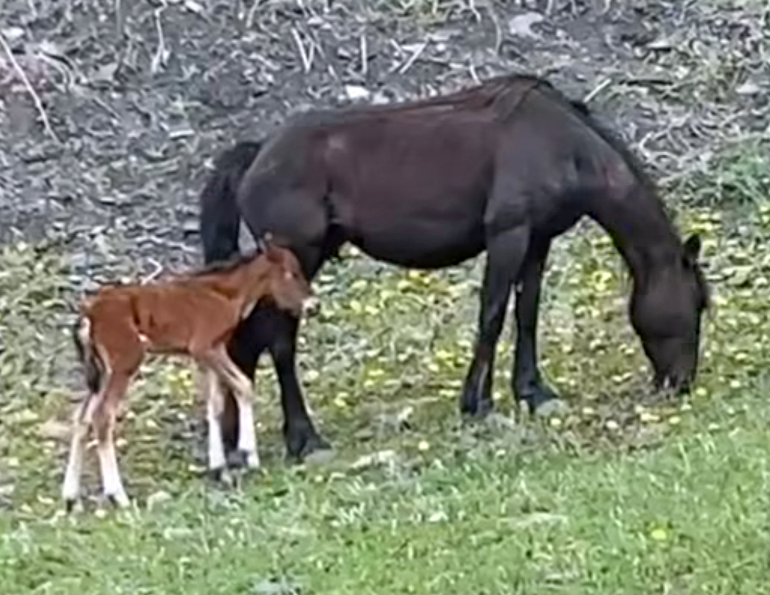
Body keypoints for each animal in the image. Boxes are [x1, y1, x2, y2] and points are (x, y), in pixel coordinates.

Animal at [62, 234, 318, 510]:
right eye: (291, 273)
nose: (313, 305)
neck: (226, 293)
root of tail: (89, 314)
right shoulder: (204, 347)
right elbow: (244, 386)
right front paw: (249, 454)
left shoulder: (213, 351)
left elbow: (216, 404)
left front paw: (220, 468)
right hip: (124, 363)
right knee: (102, 416)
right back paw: (117, 495)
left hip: (101, 372)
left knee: (82, 418)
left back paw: (71, 496)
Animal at [198, 73, 710, 463]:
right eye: (698, 304)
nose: (681, 383)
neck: (562, 143)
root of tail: (257, 154)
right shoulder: (508, 235)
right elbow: (493, 315)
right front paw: (479, 403)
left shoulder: (537, 241)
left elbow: (527, 314)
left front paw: (534, 392)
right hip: (298, 258)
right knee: (279, 341)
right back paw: (305, 440)